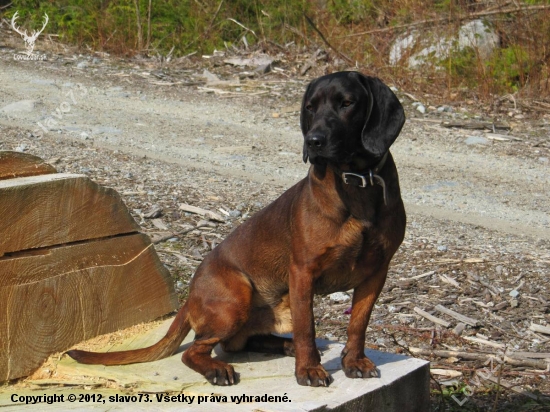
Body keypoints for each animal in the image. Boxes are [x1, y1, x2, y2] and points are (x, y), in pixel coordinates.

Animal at [68, 71, 406, 386]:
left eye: (347, 103)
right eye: (310, 107)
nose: (313, 141)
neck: (356, 183)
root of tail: (191, 295)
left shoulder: (377, 272)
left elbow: (358, 324)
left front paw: (354, 361)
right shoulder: (303, 272)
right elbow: (307, 328)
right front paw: (309, 369)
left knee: (240, 343)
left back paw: (284, 347)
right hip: (236, 298)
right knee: (199, 350)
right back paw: (221, 368)